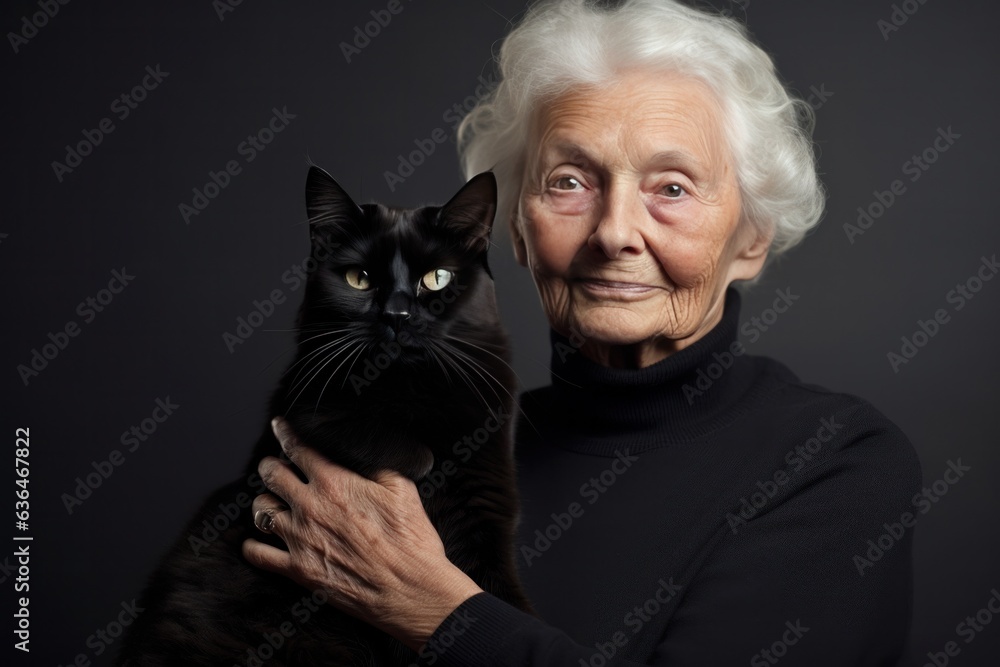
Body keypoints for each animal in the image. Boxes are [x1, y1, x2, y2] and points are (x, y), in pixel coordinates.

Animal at [118, 168, 536, 667]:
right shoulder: (301, 405)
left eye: (436, 279)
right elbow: (386, 441)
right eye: (360, 279)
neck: (407, 388)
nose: (396, 314)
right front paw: (422, 460)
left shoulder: (484, 502)